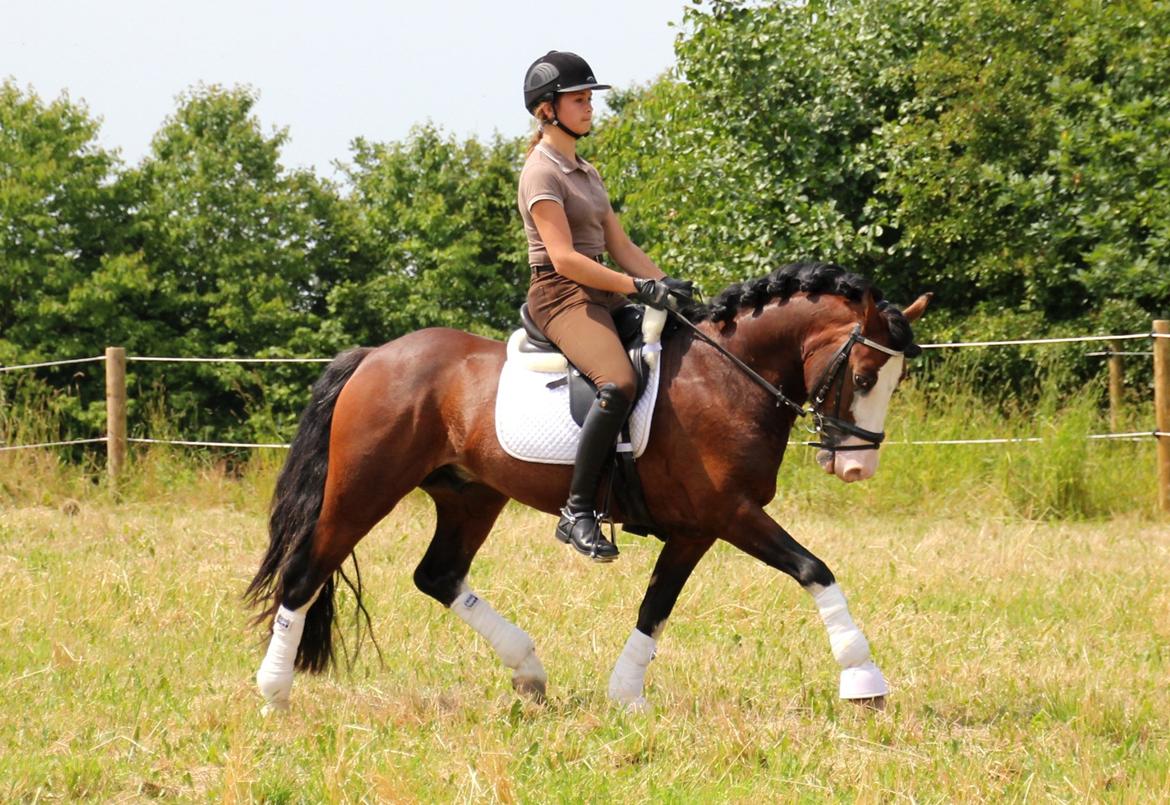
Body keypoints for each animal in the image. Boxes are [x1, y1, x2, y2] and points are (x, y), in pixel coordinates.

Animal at [246, 261, 930, 712]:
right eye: (865, 376)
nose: (858, 467)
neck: (727, 377)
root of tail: (376, 356)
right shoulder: (731, 514)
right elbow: (816, 570)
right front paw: (863, 679)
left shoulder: (697, 529)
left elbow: (655, 608)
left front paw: (626, 696)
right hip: (364, 488)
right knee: (305, 573)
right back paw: (275, 694)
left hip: (471, 495)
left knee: (438, 575)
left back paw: (528, 672)